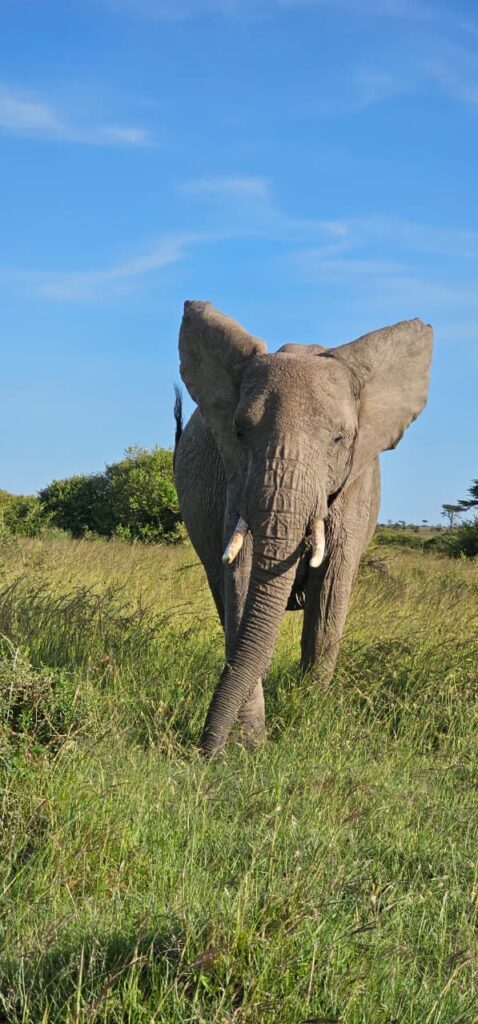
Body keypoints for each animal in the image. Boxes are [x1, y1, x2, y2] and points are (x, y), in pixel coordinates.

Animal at [174, 300, 433, 757]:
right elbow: (240, 575)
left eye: (339, 439)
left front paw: (310, 711)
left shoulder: (355, 481)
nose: (203, 750)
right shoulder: (235, 475)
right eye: (239, 432)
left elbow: (330, 590)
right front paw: (248, 742)